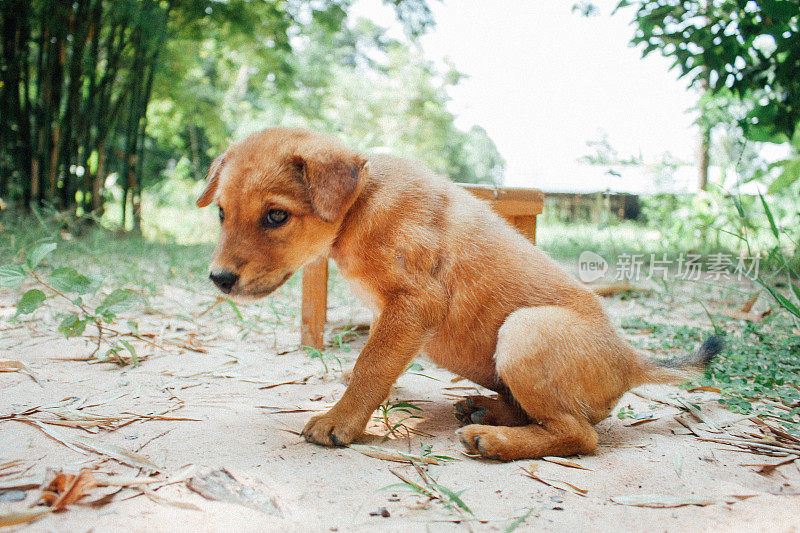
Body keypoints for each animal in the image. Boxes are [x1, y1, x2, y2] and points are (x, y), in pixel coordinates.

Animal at [197, 127, 720, 460]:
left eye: (276, 216)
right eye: (221, 212)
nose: (219, 279)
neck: (361, 204)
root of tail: (630, 359)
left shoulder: (413, 303)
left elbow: (371, 365)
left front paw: (340, 421)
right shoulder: (390, 313)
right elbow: (375, 359)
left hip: (525, 330)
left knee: (580, 435)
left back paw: (493, 440)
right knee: (548, 416)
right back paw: (488, 409)